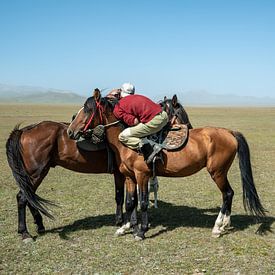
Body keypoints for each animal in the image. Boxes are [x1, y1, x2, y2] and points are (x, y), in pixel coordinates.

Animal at [67, 91, 268, 242]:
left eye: (87, 110)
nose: (70, 131)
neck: (127, 142)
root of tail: (229, 132)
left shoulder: (142, 175)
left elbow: (143, 203)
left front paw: (141, 231)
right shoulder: (129, 177)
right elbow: (130, 202)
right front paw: (125, 228)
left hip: (217, 172)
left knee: (227, 193)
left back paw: (218, 227)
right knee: (229, 194)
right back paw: (224, 225)